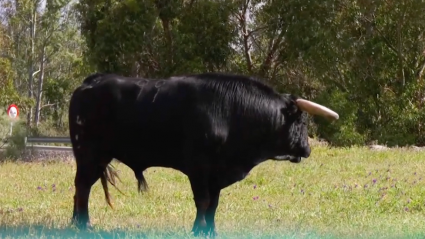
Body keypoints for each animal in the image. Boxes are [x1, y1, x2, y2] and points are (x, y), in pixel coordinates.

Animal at [68, 72, 338, 236]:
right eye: (302, 121)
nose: (308, 149)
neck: (233, 112)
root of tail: (91, 81)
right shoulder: (198, 168)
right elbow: (203, 201)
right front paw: (198, 230)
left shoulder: (216, 173)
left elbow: (214, 203)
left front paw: (211, 231)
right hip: (89, 154)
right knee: (82, 186)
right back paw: (84, 225)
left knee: (81, 187)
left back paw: (76, 224)